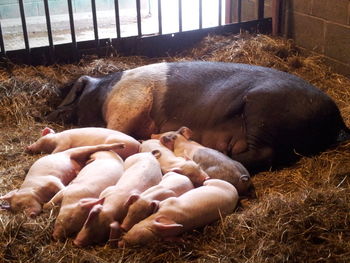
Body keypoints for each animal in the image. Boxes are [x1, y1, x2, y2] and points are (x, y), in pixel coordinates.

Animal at [47, 62, 350, 173]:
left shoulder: (128, 104)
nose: (55, 113)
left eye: (76, 98)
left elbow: (119, 132)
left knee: (264, 153)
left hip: (263, 108)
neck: (105, 95)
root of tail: (337, 120)